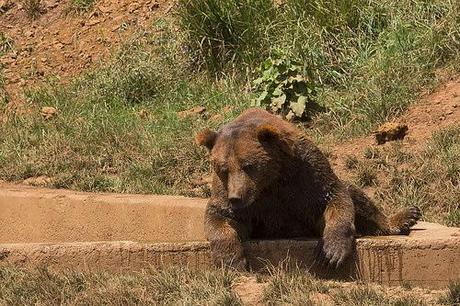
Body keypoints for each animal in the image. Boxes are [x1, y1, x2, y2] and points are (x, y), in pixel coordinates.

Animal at [194, 108, 420, 270]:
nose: (236, 197)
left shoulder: (303, 172)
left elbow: (333, 196)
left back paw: (405, 217)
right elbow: (220, 216)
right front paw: (231, 260)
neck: (270, 181)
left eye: (248, 165)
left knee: (357, 196)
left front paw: (331, 253)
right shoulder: (241, 198)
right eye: (223, 169)